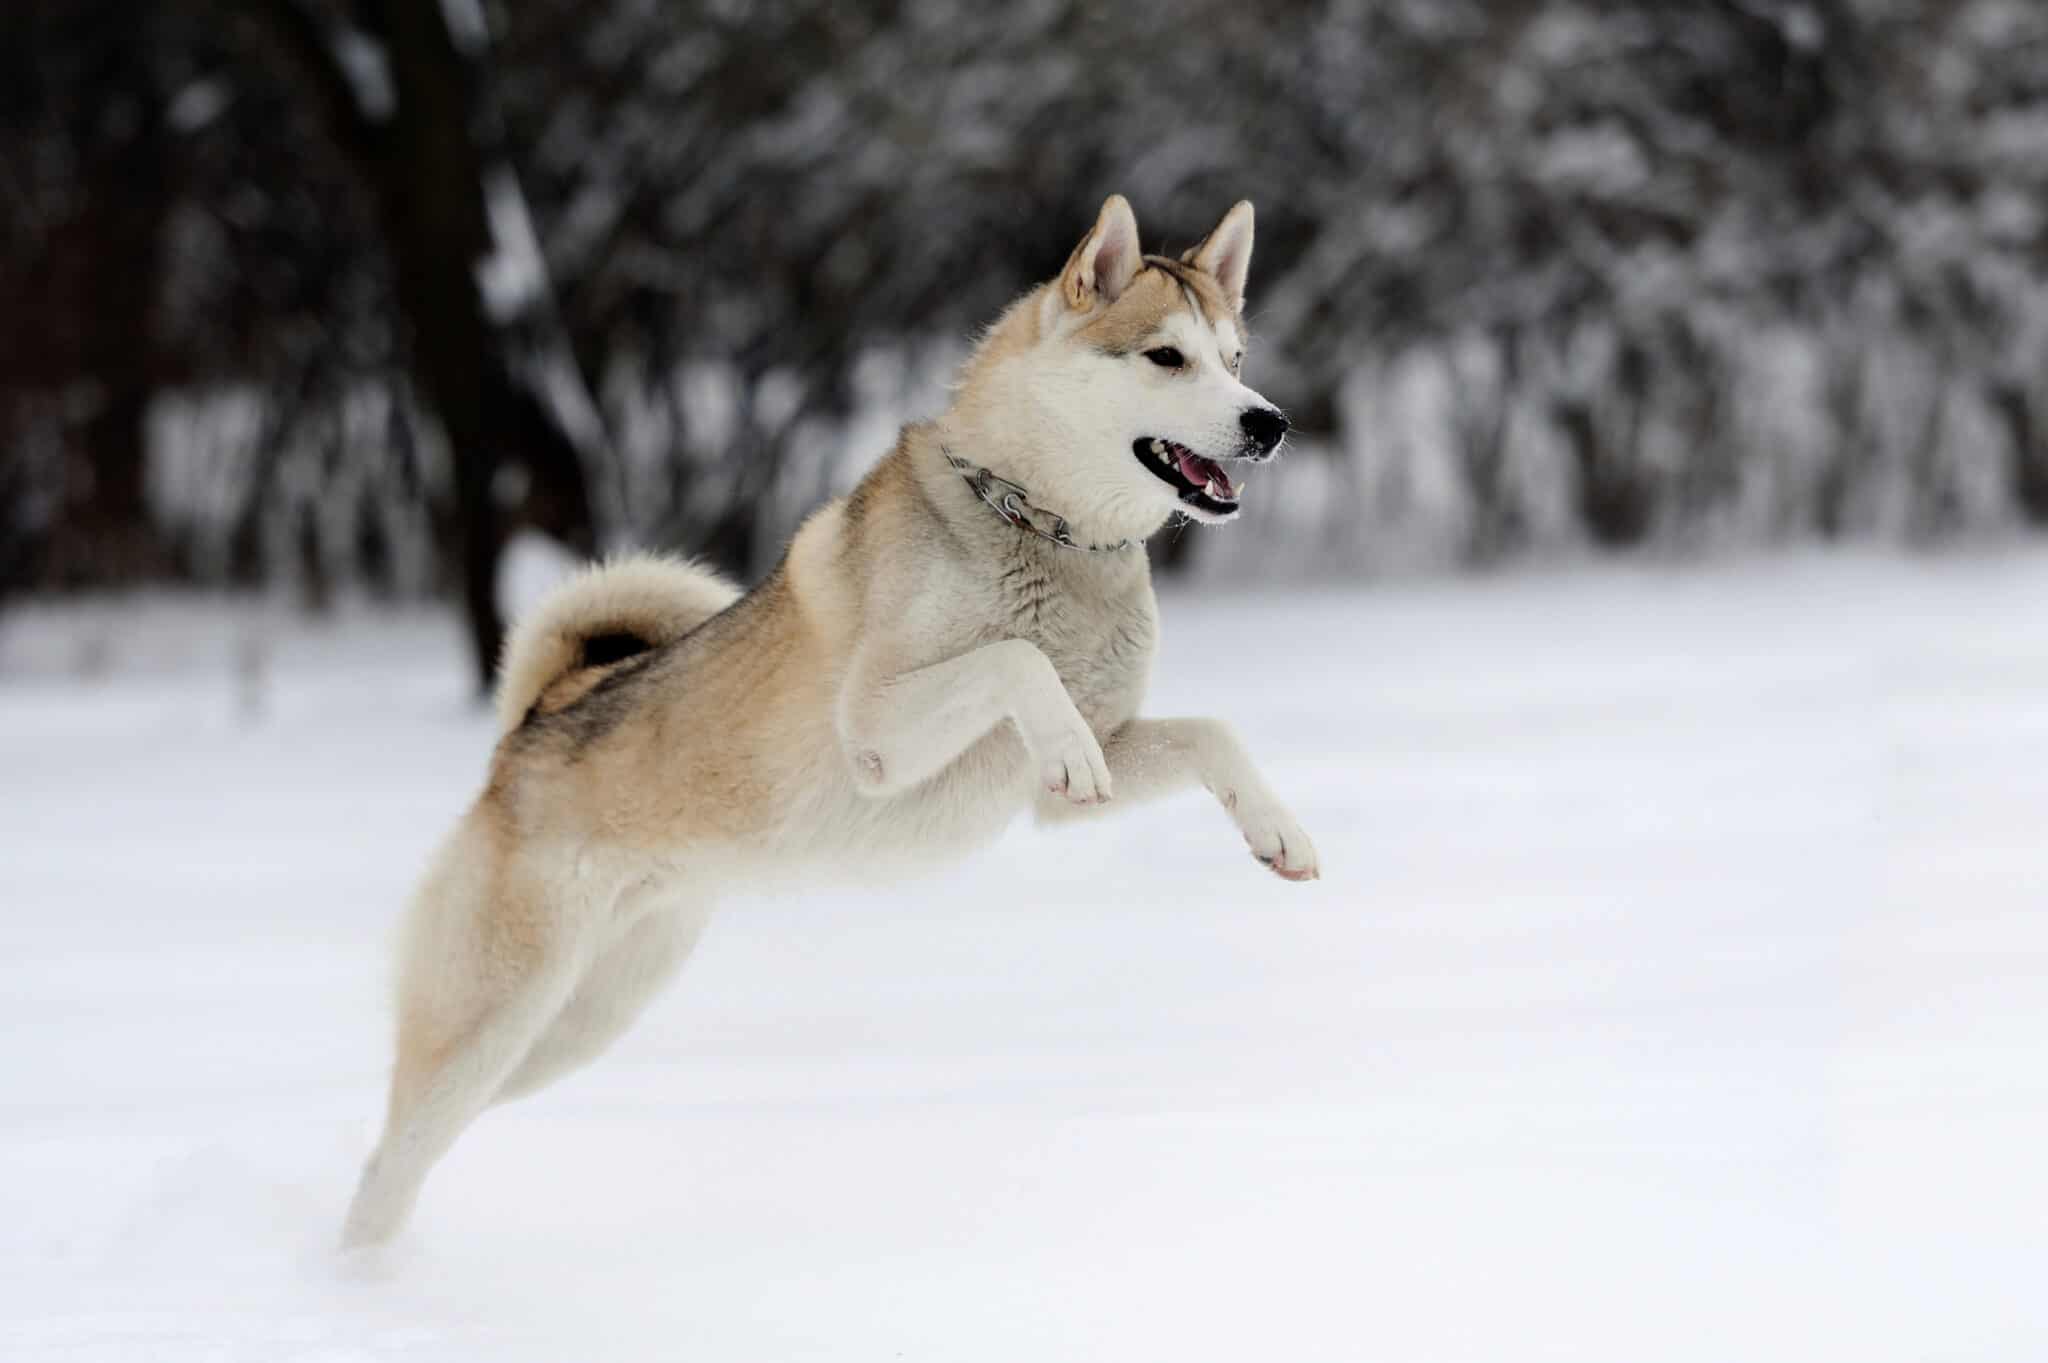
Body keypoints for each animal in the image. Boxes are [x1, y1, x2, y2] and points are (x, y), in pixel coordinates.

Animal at [344, 193, 1318, 1244]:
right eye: (1167, 357)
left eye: (1235, 357)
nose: (1270, 422)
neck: (1043, 529)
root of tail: (534, 717)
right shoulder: (879, 732)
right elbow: (1015, 661)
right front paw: (1059, 729)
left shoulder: (1071, 783)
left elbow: (1212, 733)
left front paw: (1281, 835)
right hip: (495, 1017)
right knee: (387, 1161)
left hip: (578, 1022)